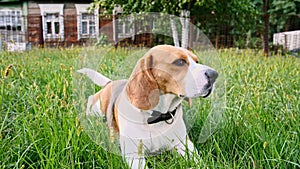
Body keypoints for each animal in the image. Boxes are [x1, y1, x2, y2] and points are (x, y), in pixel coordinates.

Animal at [77, 44, 218, 168]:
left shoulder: (183, 144)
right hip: (96, 108)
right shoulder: (134, 155)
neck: (157, 116)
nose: (214, 74)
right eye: (179, 62)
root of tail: (111, 83)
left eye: (196, 61)